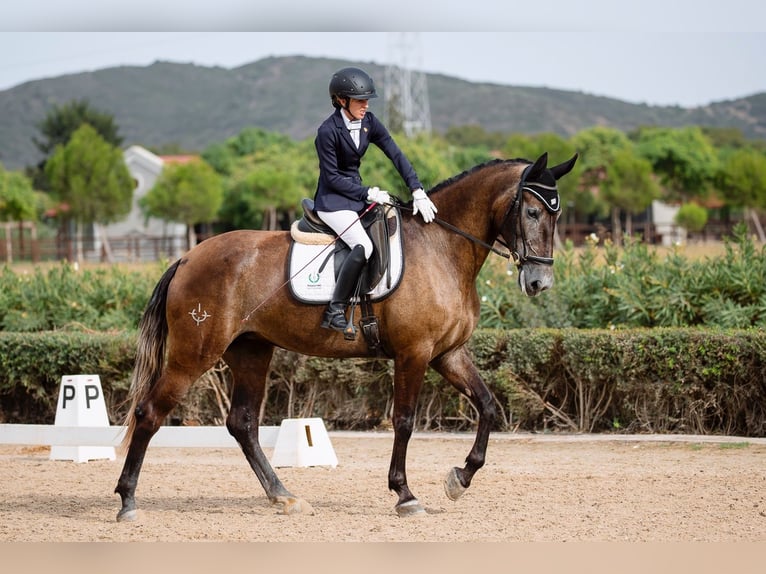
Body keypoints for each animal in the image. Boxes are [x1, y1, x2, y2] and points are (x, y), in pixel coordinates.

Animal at [117, 152, 580, 520]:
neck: (443, 247)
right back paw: (127, 501)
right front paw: (405, 495)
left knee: (242, 423)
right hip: (194, 354)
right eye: (533, 213)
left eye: (558, 215)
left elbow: (487, 406)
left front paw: (459, 478)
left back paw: (284, 496)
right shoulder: (414, 353)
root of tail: (187, 257)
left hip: (250, 351)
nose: (539, 282)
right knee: (150, 413)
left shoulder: (448, 353)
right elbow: (404, 421)